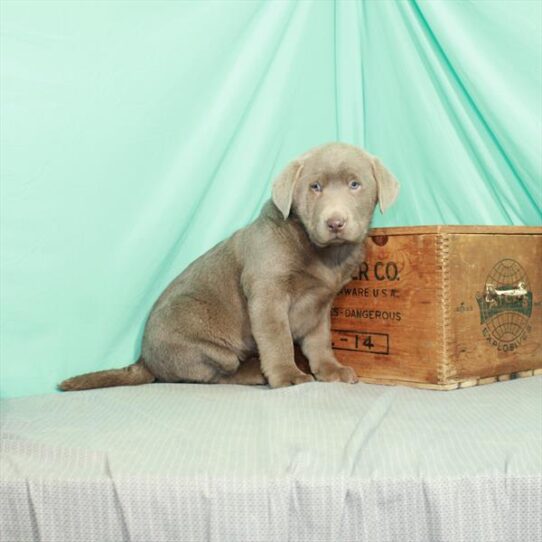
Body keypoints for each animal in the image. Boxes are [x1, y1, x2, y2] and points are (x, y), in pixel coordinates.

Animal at [60, 142, 400, 394]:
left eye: (355, 184)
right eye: (315, 187)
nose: (335, 222)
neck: (321, 252)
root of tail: (143, 359)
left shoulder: (320, 304)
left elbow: (320, 341)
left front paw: (331, 370)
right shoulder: (267, 295)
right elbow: (278, 338)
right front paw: (287, 375)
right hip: (208, 347)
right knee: (216, 375)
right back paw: (255, 373)